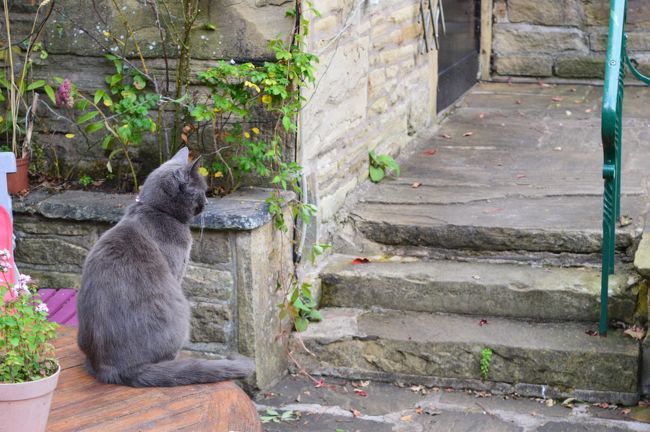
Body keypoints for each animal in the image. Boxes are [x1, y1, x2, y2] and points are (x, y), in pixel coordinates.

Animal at [77, 148, 254, 388]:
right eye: (202, 191)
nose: (208, 202)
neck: (156, 210)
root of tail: (113, 369)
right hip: (179, 311)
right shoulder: (177, 269)